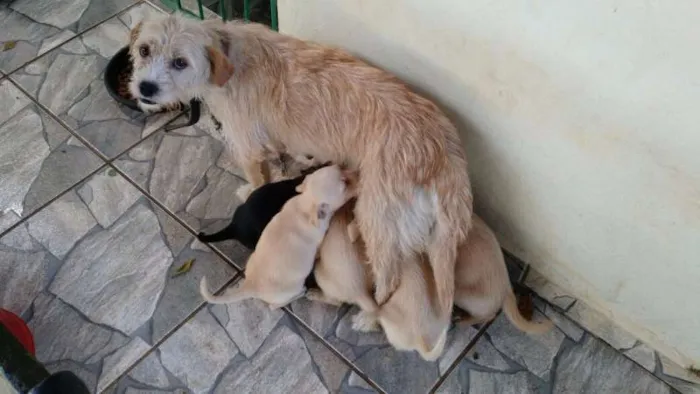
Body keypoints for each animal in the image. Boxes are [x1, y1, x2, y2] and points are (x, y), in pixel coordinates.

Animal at [201, 165, 356, 310]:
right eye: (345, 185)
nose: (356, 172)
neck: (305, 204)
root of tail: (250, 285)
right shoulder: (318, 239)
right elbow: (318, 250)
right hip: (291, 289)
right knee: (274, 306)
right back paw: (301, 293)